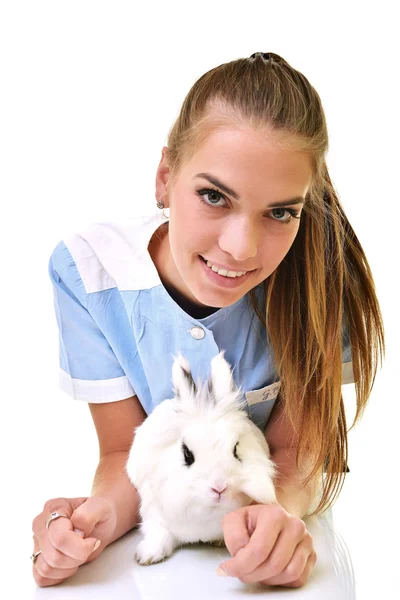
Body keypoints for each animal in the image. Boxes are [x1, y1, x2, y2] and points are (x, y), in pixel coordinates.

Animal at [126, 350, 276, 564]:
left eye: (236, 449)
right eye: (187, 454)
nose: (219, 487)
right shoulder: (154, 512)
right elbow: (159, 533)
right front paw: (147, 556)